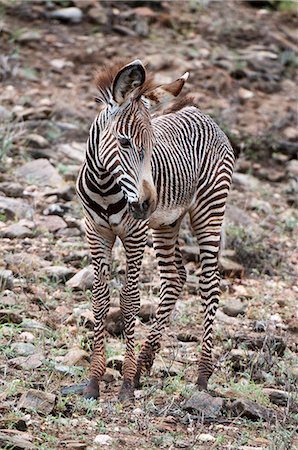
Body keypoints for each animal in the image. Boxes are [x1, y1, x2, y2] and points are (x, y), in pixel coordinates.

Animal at [76, 59, 235, 400]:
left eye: (151, 147)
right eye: (124, 142)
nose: (148, 203)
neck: (105, 186)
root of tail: (201, 112)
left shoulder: (135, 234)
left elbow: (129, 301)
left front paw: (124, 384)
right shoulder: (95, 232)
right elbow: (100, 299)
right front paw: (95, 381)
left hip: (209, 210)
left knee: (210, 284)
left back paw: (202, 376)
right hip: (167, 223)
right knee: (175, 277)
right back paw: (144, 365)